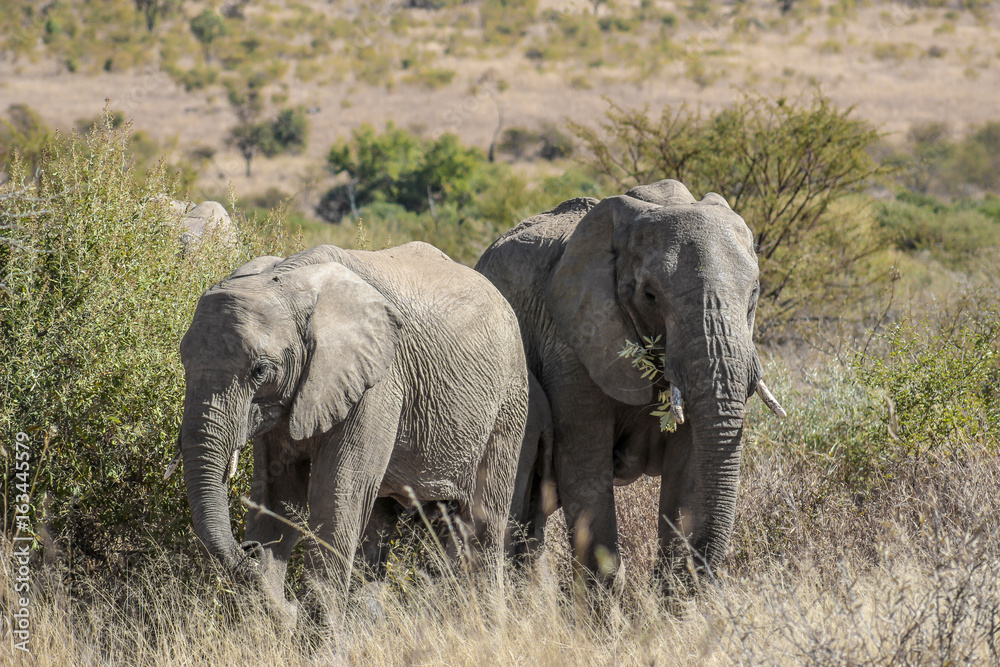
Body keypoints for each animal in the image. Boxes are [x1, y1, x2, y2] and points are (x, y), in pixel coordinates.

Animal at [178, 240, 532, 632]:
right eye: (183, 359)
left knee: (484, 520)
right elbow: (278, 496)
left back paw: (489, 626)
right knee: (387, 521)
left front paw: (317, 638)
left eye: (260, 370)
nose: (250, 551)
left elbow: (336, 498)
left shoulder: (378, 384)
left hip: (509, 398)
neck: (289, 279)